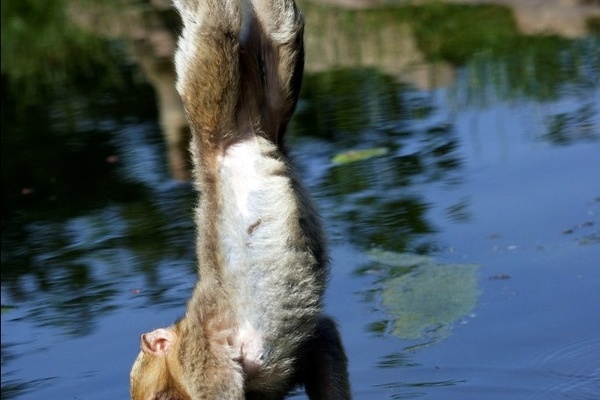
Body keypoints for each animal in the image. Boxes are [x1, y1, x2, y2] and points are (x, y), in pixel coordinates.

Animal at [128, 0, 350, 398]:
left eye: (163, 398)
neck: (184, 336)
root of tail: (240, 131)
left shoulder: (203, 358)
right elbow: (322, 340)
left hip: (208, 104)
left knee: (216, 27)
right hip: (267, 104)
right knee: (280, 34)